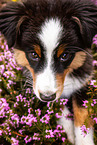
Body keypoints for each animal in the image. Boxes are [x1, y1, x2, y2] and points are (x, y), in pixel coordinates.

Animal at [0, 0, 97, 144]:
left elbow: (82, 114)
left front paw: (83, 141)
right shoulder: (32, 80)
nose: (47, 96)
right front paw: (68, 132)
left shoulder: (85, 75)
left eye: (65, 55)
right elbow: (58, 106)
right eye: (34, 55)